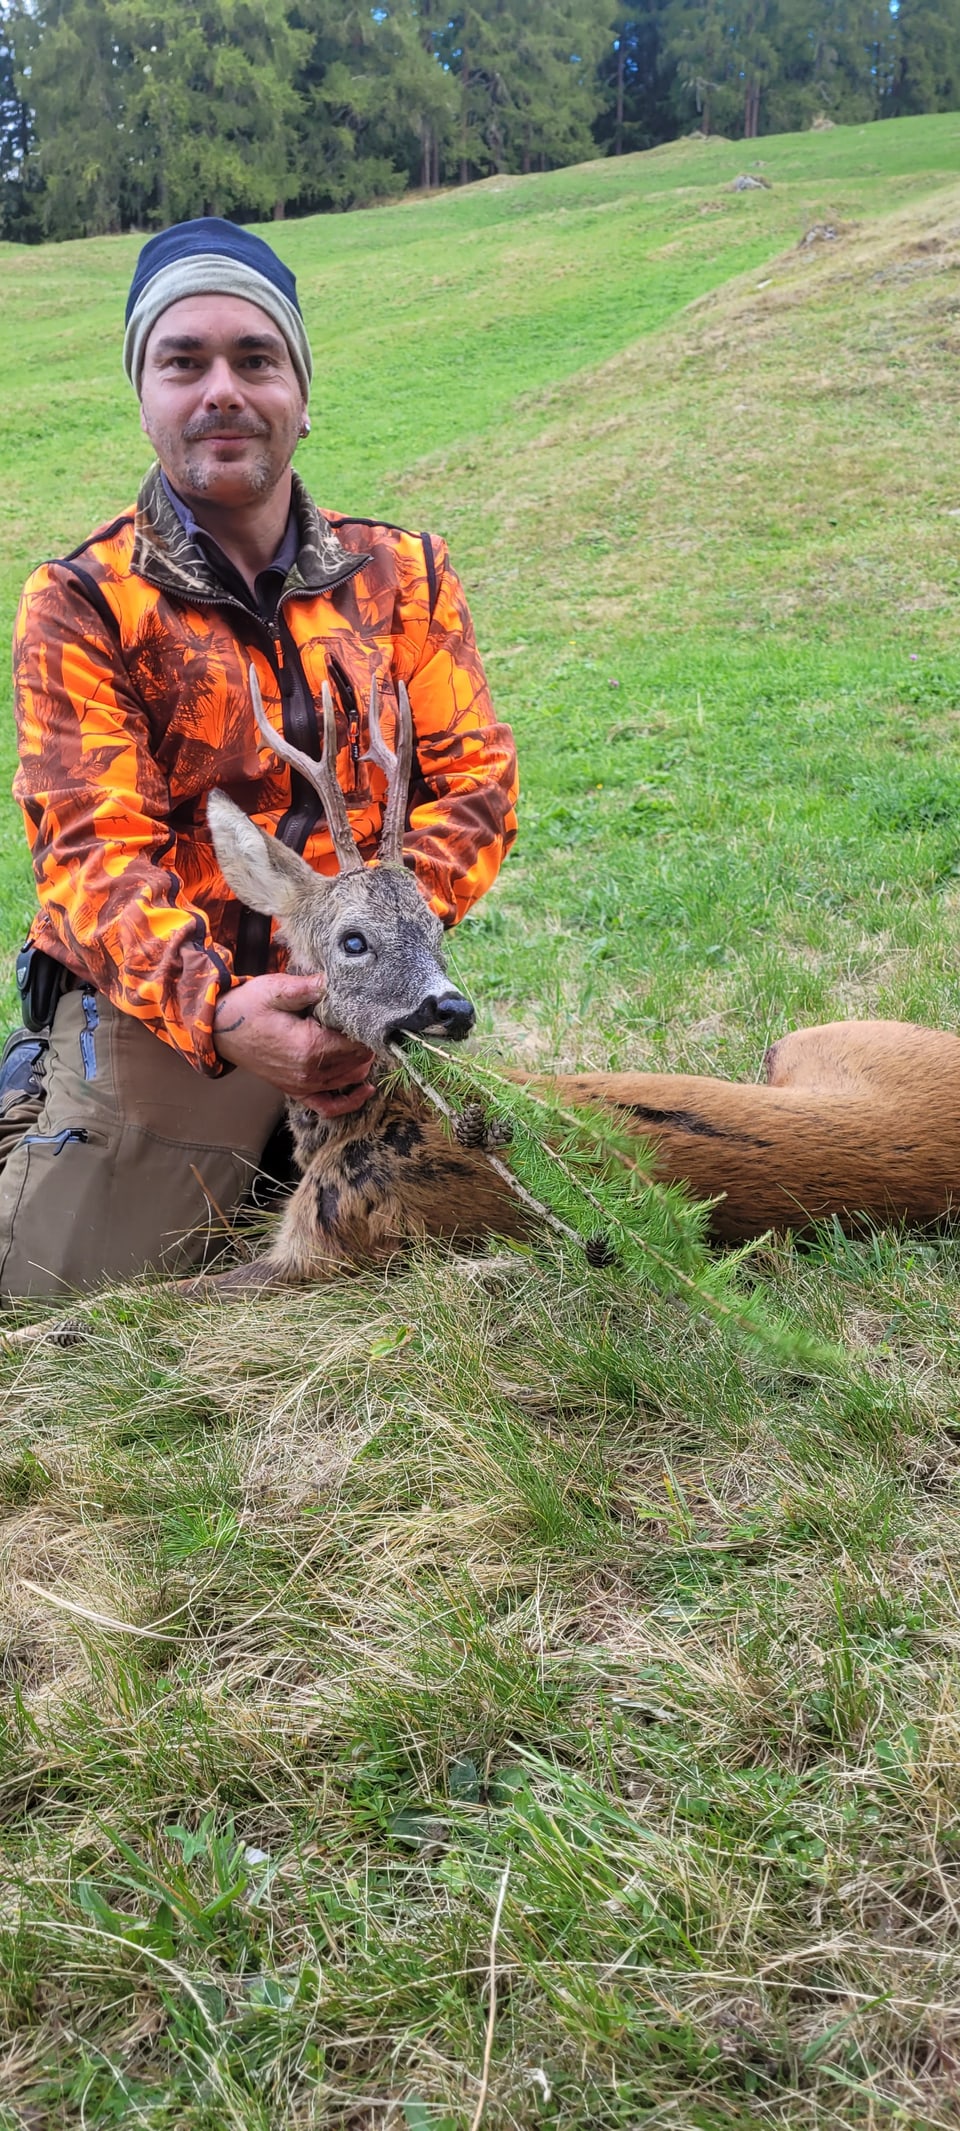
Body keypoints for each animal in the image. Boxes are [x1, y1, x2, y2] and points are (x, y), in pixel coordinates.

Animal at [205, 669, 960, 1278]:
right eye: (353, 940)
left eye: (436, 928)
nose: (453, 1010)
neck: (369, 1123)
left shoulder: (325, 1244)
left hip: (815, 1040)